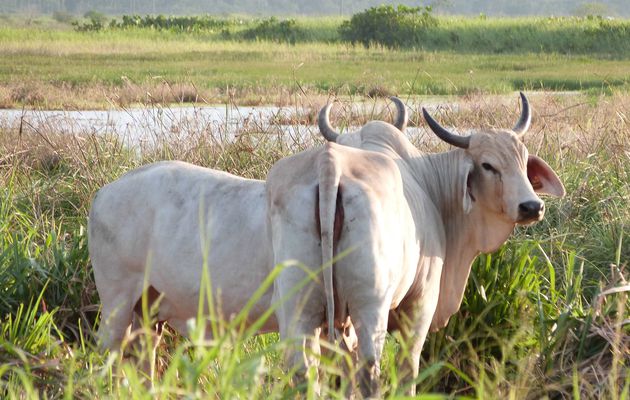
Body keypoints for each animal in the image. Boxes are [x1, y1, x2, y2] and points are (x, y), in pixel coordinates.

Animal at [268, 92, 568, 396]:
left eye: (523, 160)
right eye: (487, 165)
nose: (531, 207)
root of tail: (330, 165)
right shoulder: (421, 301)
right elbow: (408, 368)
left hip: (300, 307)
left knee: (304, 372)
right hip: (370, 306)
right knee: (369, 371)